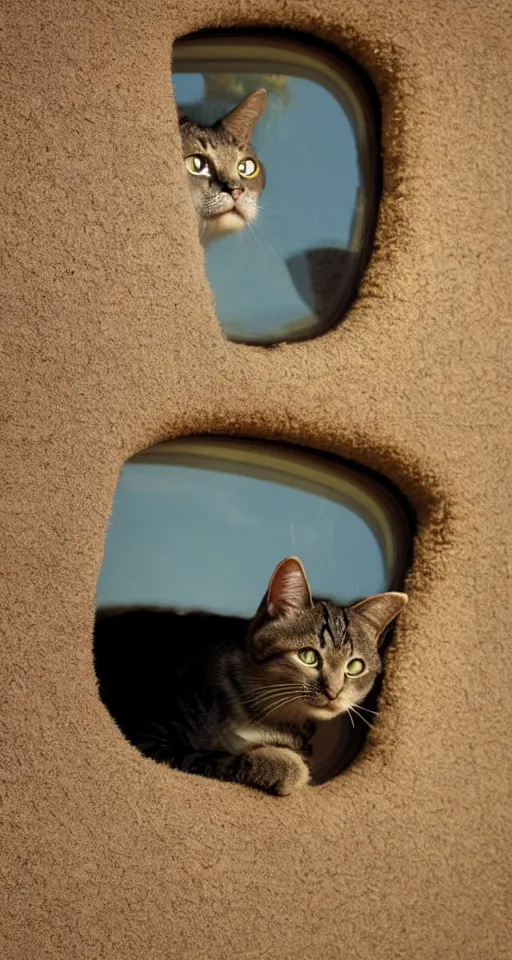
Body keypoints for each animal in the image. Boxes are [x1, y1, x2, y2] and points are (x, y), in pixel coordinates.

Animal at [94, 556, 408, 796]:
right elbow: (216, 760)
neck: (262, 710)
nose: (334, 691)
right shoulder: (151, 736)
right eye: (308, 656)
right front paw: (284, 767)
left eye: (354, 667)